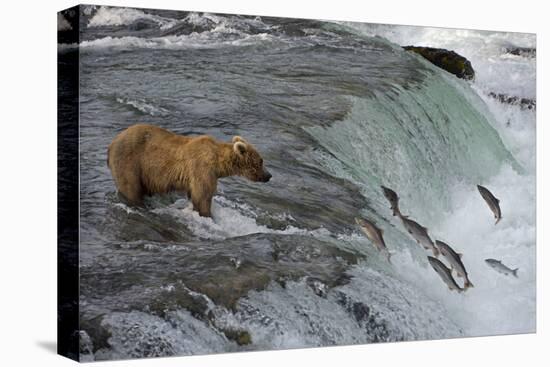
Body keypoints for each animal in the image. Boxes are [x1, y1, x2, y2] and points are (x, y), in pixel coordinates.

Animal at [106, 124, 272, 216]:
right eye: (261, 161)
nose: (269, 176)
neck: (218, 164)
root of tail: (112, 142)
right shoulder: (202, 169)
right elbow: (202, 196)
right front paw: (207, 215)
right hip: (130, 161)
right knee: (130, 187)